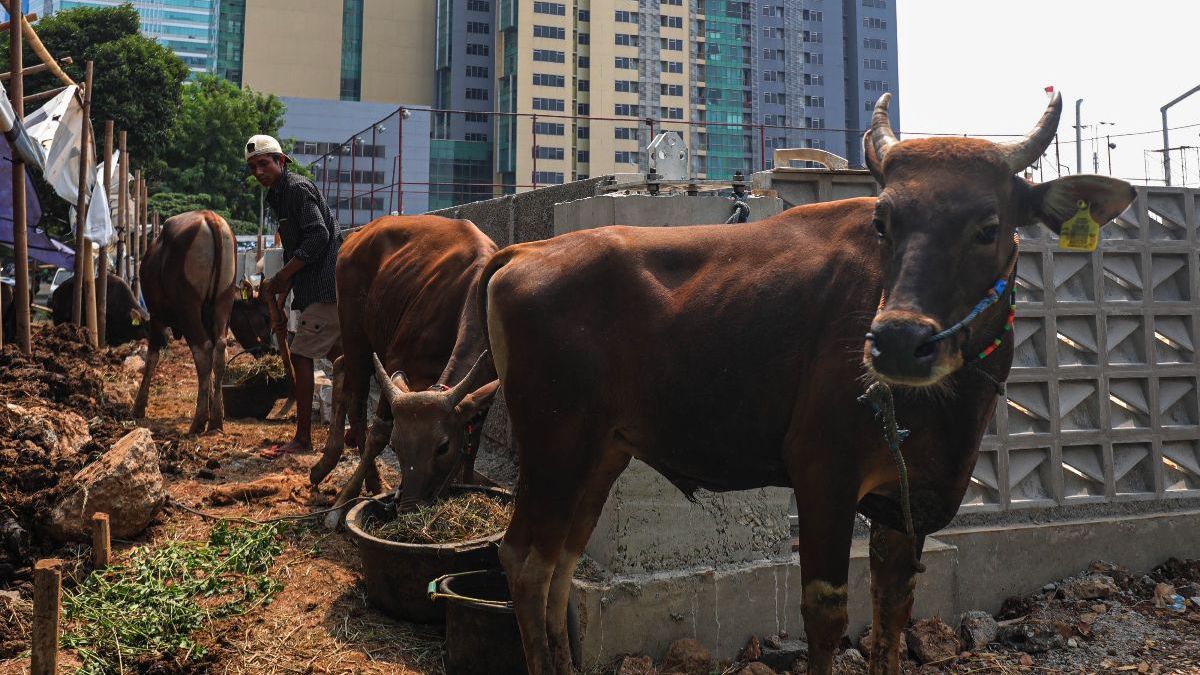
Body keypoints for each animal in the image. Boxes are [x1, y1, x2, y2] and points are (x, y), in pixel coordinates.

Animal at [132, 208, 237, 429]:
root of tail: (210, 217)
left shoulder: (156, 317)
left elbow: (152, 357)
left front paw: (139, 405)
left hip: (188, 307)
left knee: (203, 350)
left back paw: (199, 420)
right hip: (224, 301)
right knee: (219, 350)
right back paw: (216, 418)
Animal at [309, 212, 501, 516]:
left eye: (443, 447)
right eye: (396, 446)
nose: (410, 506)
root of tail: (356, 237)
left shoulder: (485, 388)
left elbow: (474, 442)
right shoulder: (396, 363)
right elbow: (379, 432)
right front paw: (342, 503)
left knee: (339, 366)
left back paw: (326, 464)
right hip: (355, 332)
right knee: (356, 403)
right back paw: (371, 482)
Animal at [456, 94, 1132, 672]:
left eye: (989, 226)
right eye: (883, 221)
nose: (897, 341)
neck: (944, 410)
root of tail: (524, 253)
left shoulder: (904, 503)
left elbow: (892, 615)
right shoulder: (824, 476)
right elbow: (826, 616)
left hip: (601, 453)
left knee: (561, 562)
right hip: (554, 442)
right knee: (525, 560)